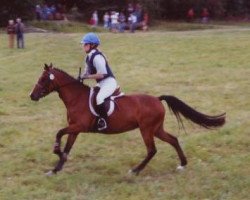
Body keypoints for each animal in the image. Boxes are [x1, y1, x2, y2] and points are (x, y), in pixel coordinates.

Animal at [30, 63, 226, 175]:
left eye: (43, 79)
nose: (31, 96)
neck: (76, 97)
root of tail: (157, 99)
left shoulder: (79, 126)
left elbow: (58, 134)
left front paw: (56, 151)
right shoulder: (75, 128)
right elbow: (68, 146)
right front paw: (56, 168)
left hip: (146, 129)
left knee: (152, 150)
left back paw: (135, 170)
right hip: (156, 129)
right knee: (173, 140)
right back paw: (182, 164)